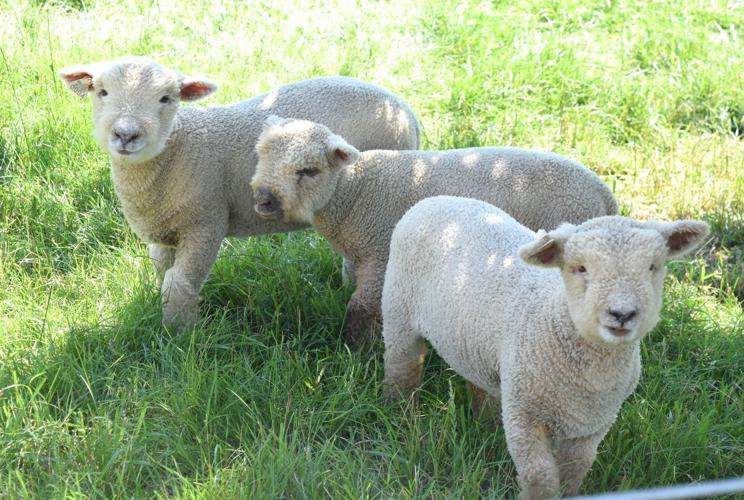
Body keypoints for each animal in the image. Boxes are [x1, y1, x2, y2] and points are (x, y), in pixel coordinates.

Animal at [58, 56, 421, 329]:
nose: (126, 135)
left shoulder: (206, 222)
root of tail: (405, 109)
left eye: (166, 99)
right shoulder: (164, 230)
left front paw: (180, 337)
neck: (176, 149)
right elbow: (162, 272)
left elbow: (180, 284)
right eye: (101, 92)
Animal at [249, 117, 618, 348]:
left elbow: (361, 309)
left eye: (308, 170)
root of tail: (604, 194)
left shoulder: (380, 255)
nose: (263, 200)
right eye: (260, 154)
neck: (354, 191)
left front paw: (353, 352)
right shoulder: (361, 255)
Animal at [381, 195, 709, 499]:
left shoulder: (594, 423)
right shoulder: (524, 414)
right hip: (398, 310)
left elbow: (575, 470)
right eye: (580, 268)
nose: (622, 313)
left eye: (653, 267)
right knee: (403, 366)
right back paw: (401, 414)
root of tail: (437, 199)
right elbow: (540, 476)